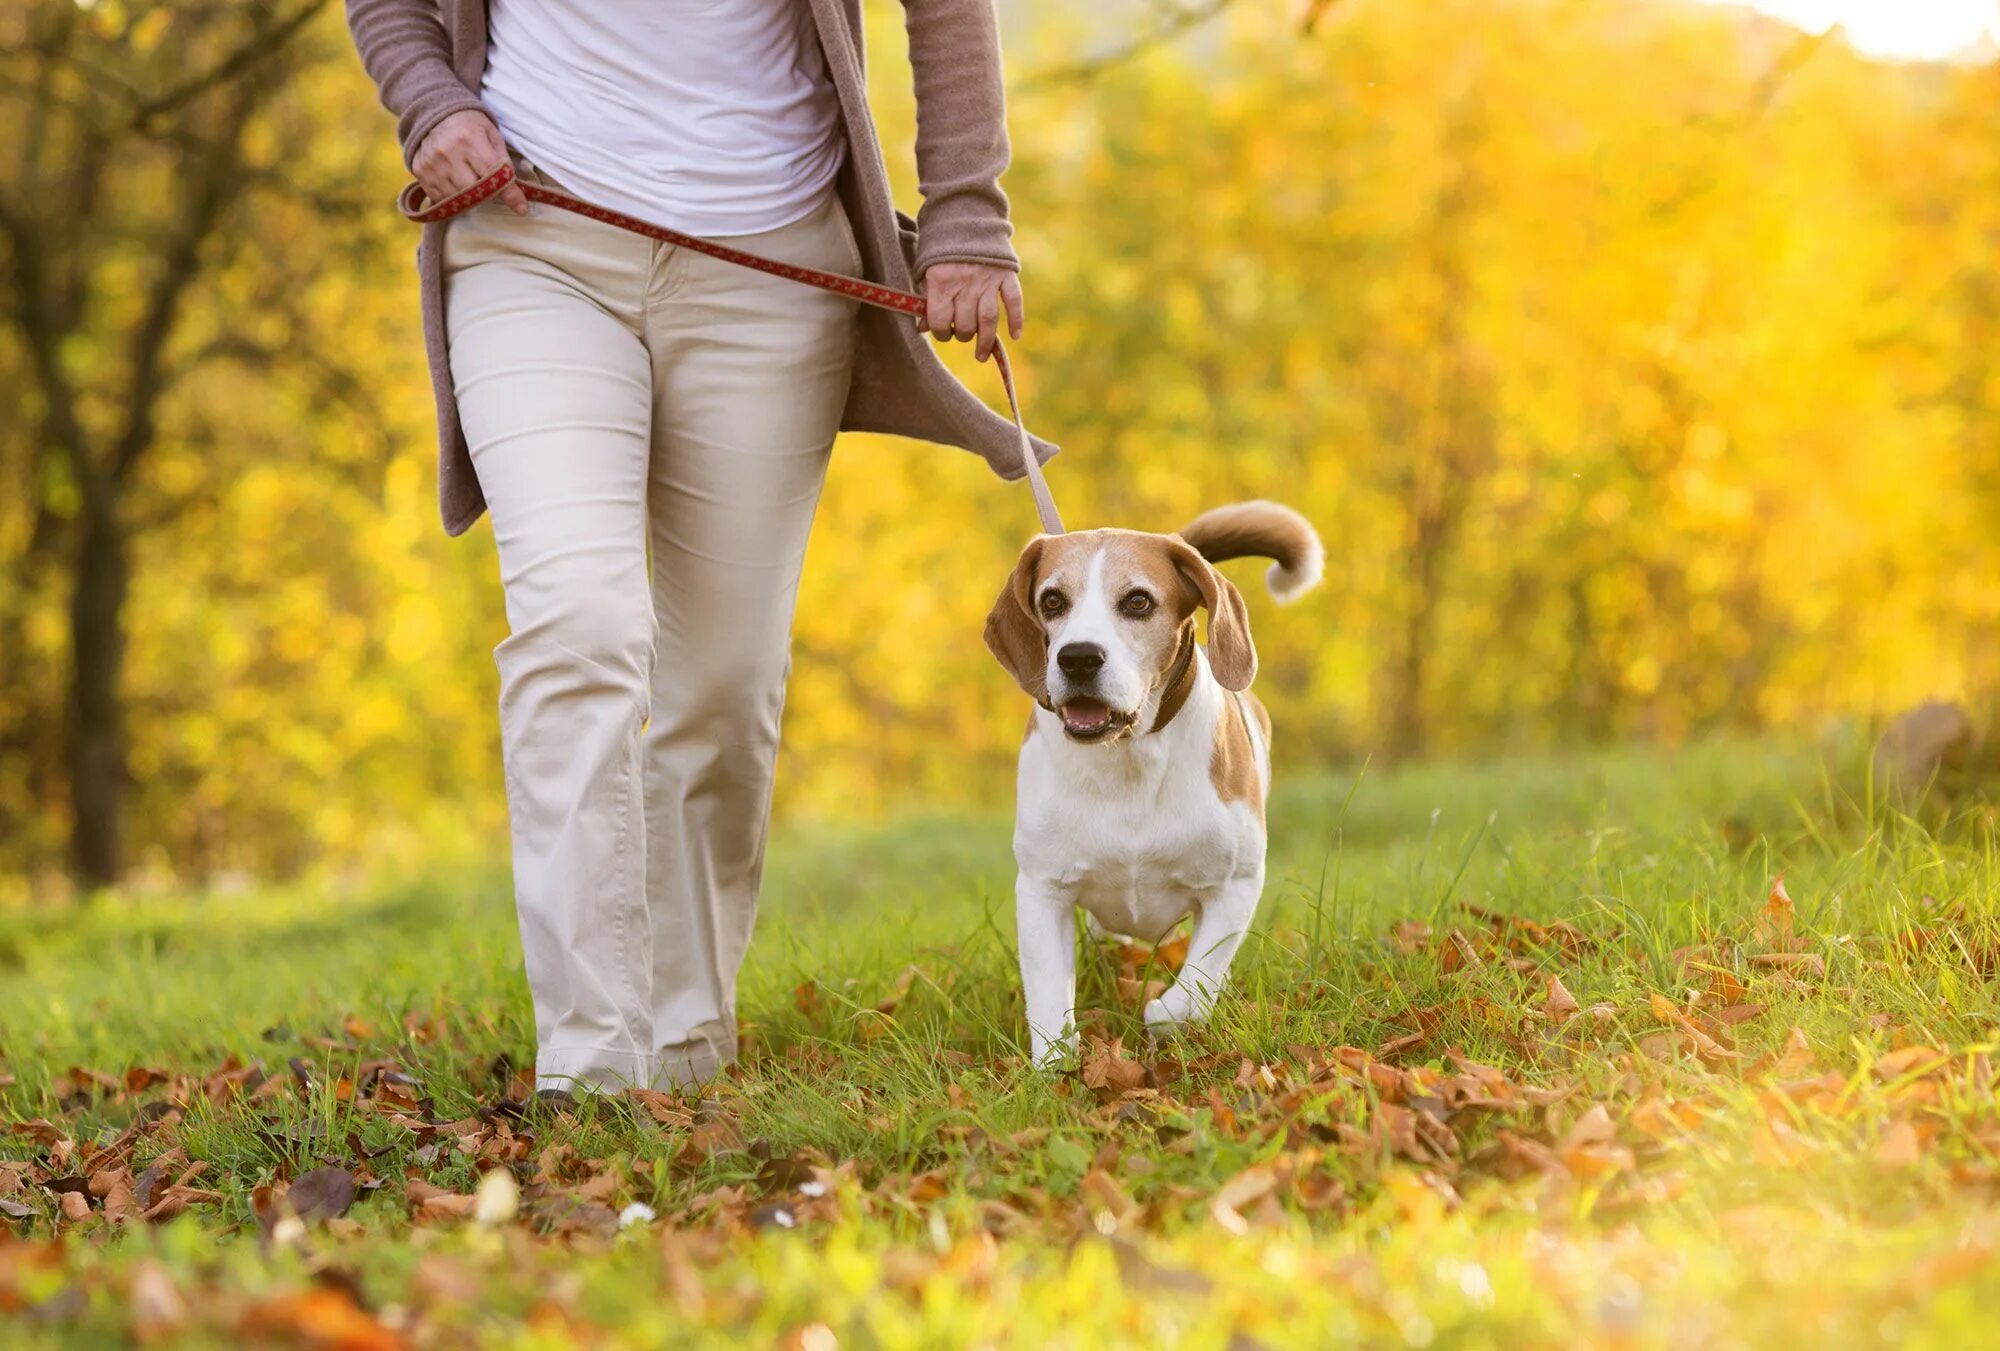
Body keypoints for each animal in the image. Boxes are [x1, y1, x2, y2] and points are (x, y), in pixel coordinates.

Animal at [988, 501, 1328, 1063]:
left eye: (1138, 601)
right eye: (1052, 600)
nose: (1077, 657)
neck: (1128, 757)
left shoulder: (1236, 884)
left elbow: (1195, 986)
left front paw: (1162, 1015)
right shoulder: (1042, 889)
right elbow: (1049, 997)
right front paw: (1055, 1066)